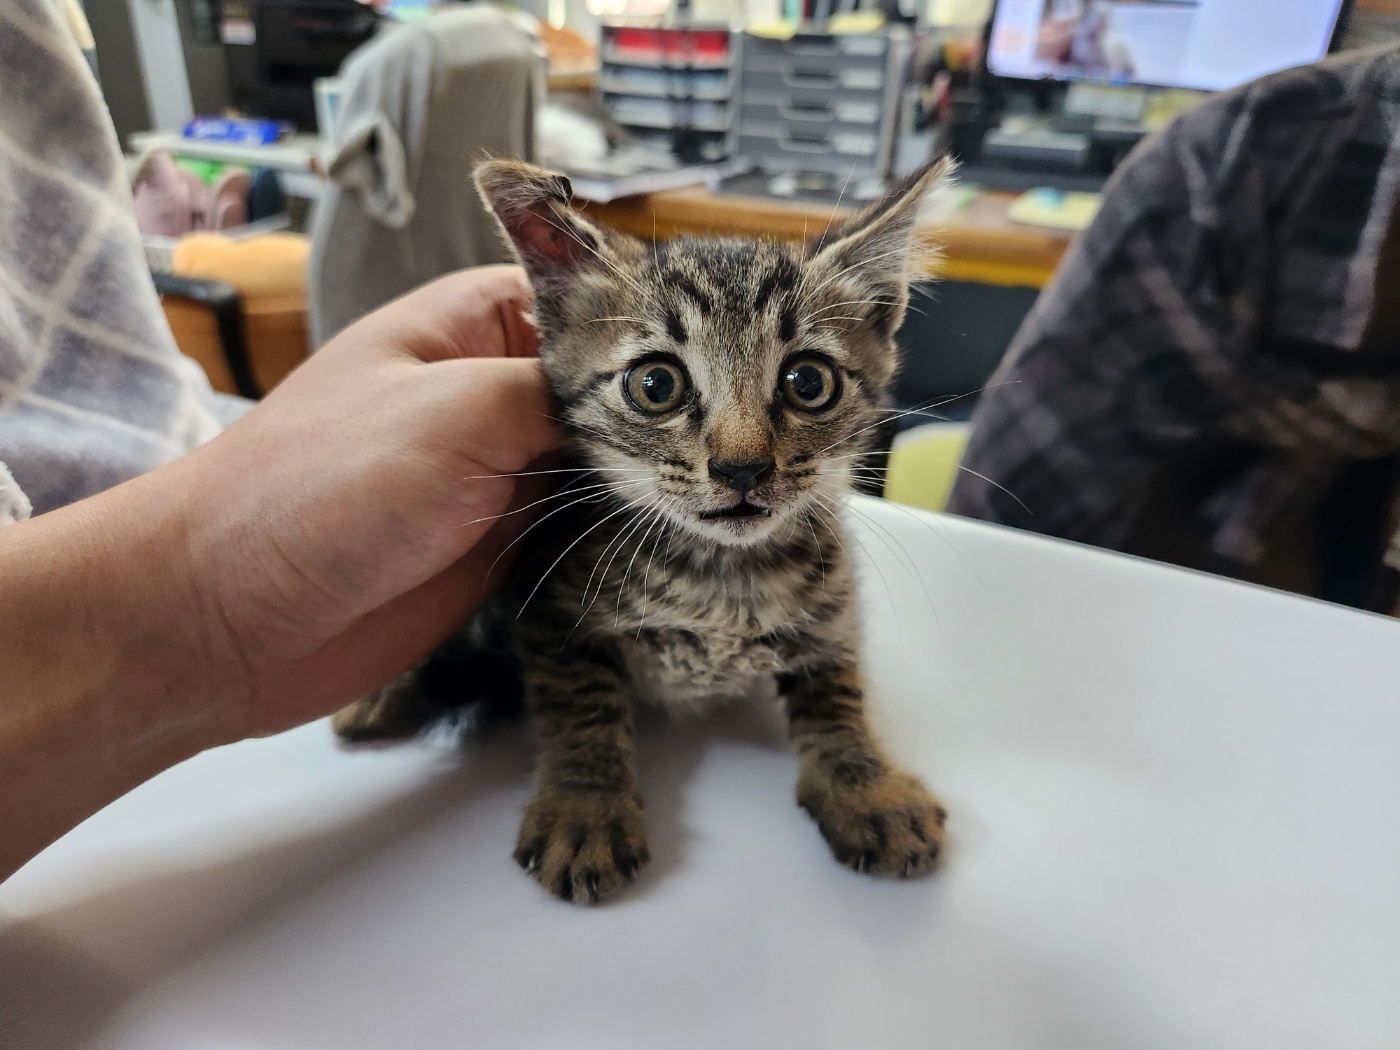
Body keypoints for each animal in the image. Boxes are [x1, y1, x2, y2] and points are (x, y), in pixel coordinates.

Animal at [334, 156, 957, 907]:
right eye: (656, 385)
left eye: (808, 381)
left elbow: (838, 689)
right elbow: (580, 703)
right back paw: (386, 695)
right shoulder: (544, 598)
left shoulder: (832, 603)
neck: (719, 575)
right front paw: (585, 807)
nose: (742, 468)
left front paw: (867, 786)